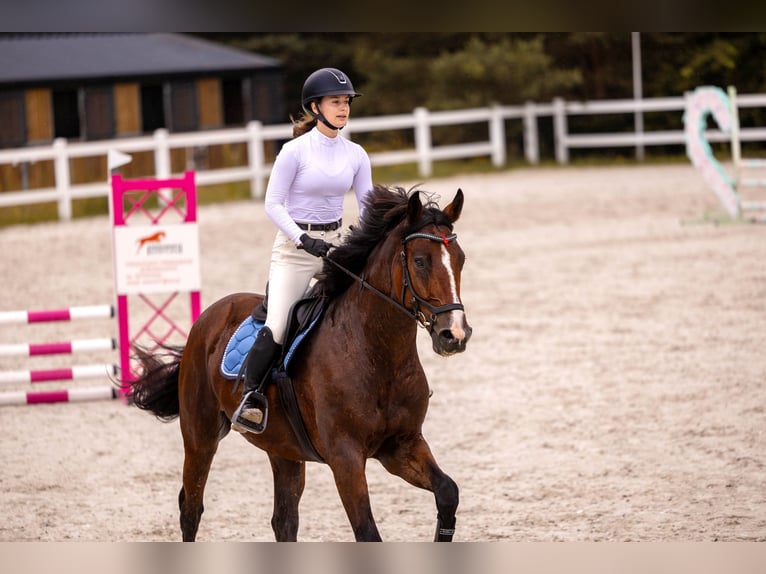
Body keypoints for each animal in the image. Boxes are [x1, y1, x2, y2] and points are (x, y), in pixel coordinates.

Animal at [125, 182, 472, 544]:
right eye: (419, 261)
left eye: (461, 260)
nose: (455, 335)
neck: (376, 354)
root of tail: (209, 316)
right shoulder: (345, 459)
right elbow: (367, 532)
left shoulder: (401, 446)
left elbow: (448, 492)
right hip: (200, 436)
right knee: (191, 508)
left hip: (283, 450)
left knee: (284, 521)